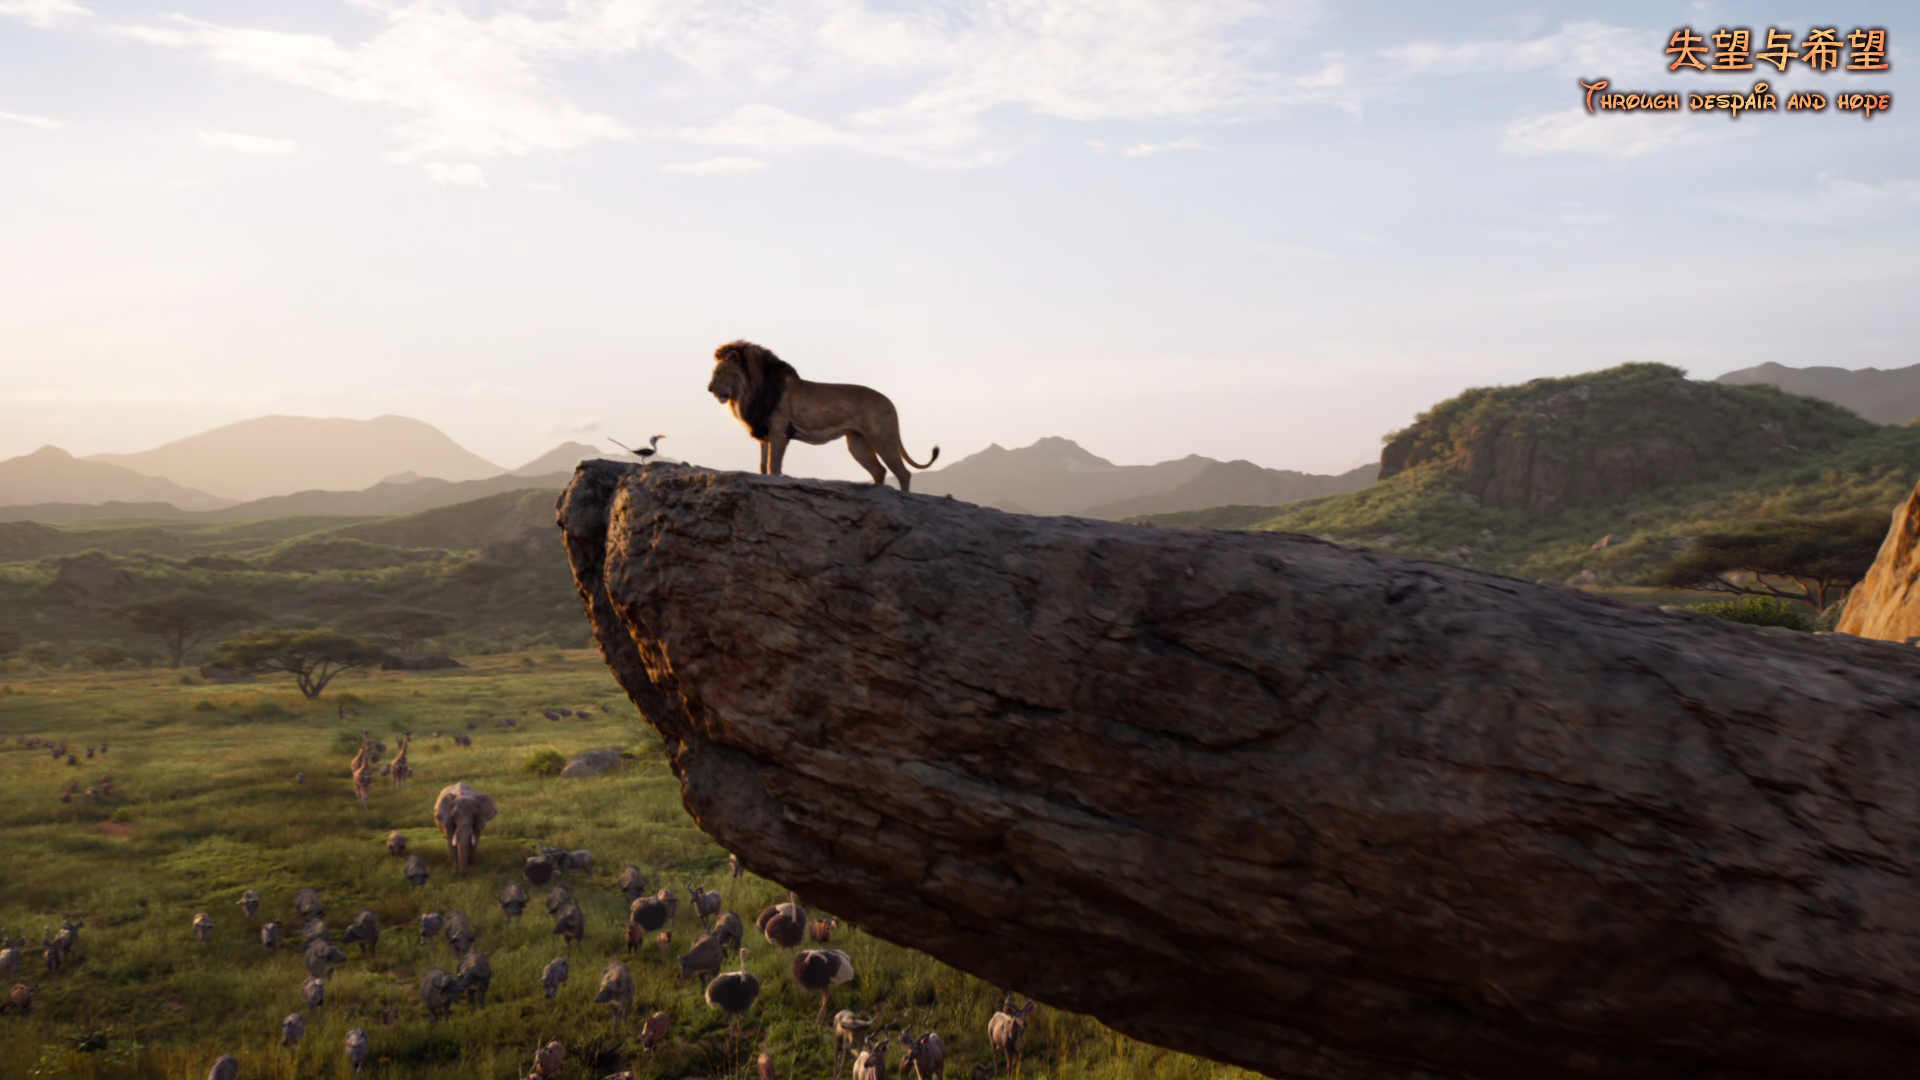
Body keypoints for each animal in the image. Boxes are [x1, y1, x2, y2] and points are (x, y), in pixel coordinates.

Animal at [707, 340, 939, 491]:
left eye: (719, 373)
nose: (709, 389)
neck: (747, 392)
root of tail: (890, 402)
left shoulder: (779, 431)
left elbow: (774, 465)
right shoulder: (764, 433)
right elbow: (763, 464)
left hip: (883, 438)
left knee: (902, 473)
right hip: (858, 443)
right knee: (879, 471)